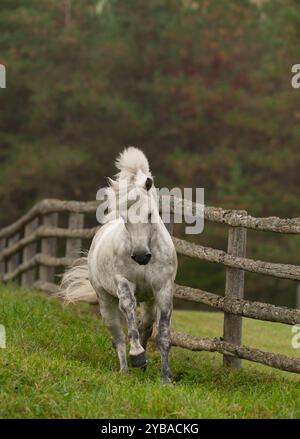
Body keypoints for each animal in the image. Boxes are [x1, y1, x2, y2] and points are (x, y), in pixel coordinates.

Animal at [61, 148, 178, 382]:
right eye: (125, 217)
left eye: (150, 214)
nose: (141, 256)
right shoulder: (124, 283)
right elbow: (129, 312)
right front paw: (138, 356)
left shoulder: (163, 289)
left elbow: (162, 334)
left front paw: (166, 379)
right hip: (105, 301)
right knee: (117, 337)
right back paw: (126, 369)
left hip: (149, 300)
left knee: (146, 325)